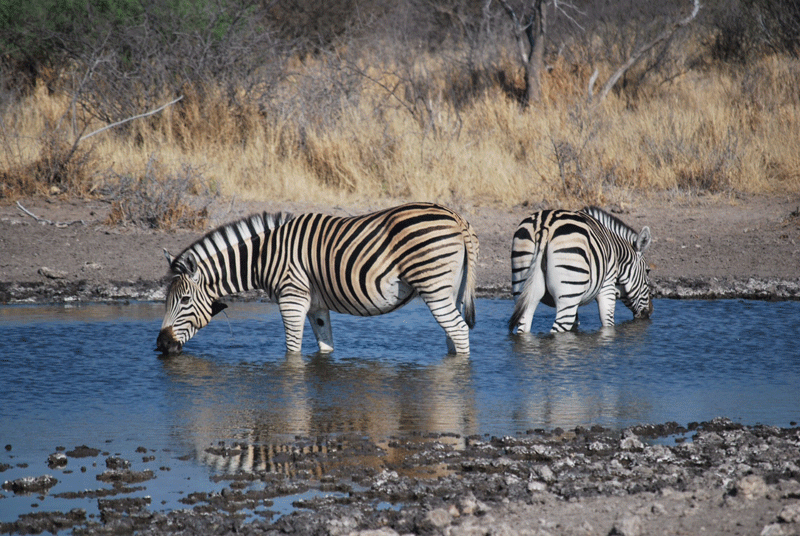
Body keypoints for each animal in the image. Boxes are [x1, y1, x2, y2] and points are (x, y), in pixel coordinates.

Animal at [156, 202, 479, 355]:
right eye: (166, 301)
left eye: (185, 300)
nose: (161, 345)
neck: (264, 257)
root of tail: (457, 218)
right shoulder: (316, 307)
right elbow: (325, 346)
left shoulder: (291, 299)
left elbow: (292, 350)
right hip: (451, 290)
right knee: (453, 335)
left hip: (434, 288)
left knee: (460, 331)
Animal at [509, 206, 652, 333]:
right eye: (647, 271)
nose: (650, 312)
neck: (616, 253)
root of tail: (544, 226)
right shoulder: (607, 286)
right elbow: (608, 323)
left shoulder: (576, 300)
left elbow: (575, 325)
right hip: (568, 292)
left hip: (523, 286)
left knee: (524, 325)